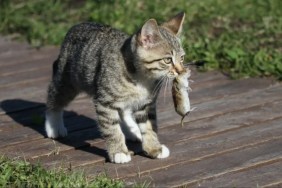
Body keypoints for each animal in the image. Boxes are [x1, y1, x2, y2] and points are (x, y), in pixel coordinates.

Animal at [44, 11, 187, 163]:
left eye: (182, 58)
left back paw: (132, 130)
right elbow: (112, 129)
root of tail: (76, 26)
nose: (181, 71)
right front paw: (119, 152)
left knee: (123, 110)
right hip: (69, 80)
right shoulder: (105, 101)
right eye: (167, 60)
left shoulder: (146, 103)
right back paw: (54, 126)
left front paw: (154, 148)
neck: (142, 78)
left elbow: (149, 126)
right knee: (55, 94)